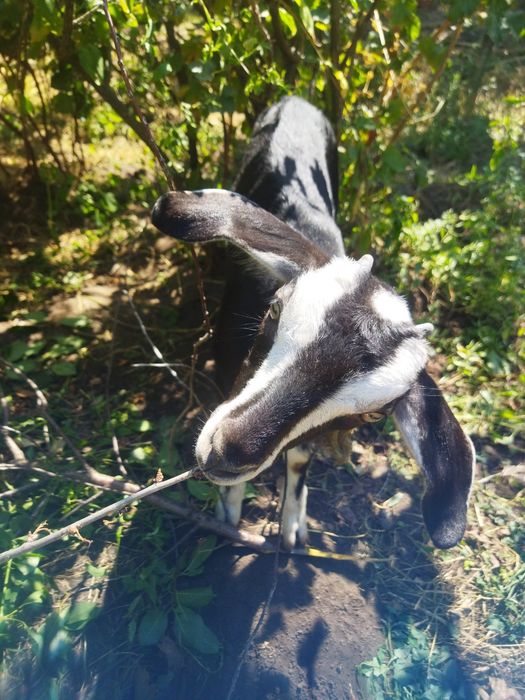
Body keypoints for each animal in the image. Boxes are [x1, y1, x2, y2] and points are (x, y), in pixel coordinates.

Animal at [151, 96, 475, 551]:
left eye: (373, 415)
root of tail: (297, 99)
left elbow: (301, 456)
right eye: (275, 309)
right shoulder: (227, 365)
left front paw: (292, 525)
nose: (226, 452)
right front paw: (229, 511)